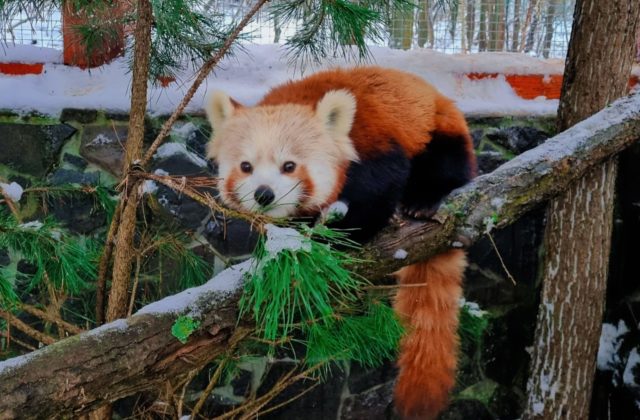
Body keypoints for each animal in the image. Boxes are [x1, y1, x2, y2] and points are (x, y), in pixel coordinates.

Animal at [205, 67, 476, 418]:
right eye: (246, 166)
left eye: (289, 166)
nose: (264, 194)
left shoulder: (374, 143)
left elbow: (379, 191)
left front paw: (341, 237)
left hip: (439, 130)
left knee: (445, 165)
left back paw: (422, 201)